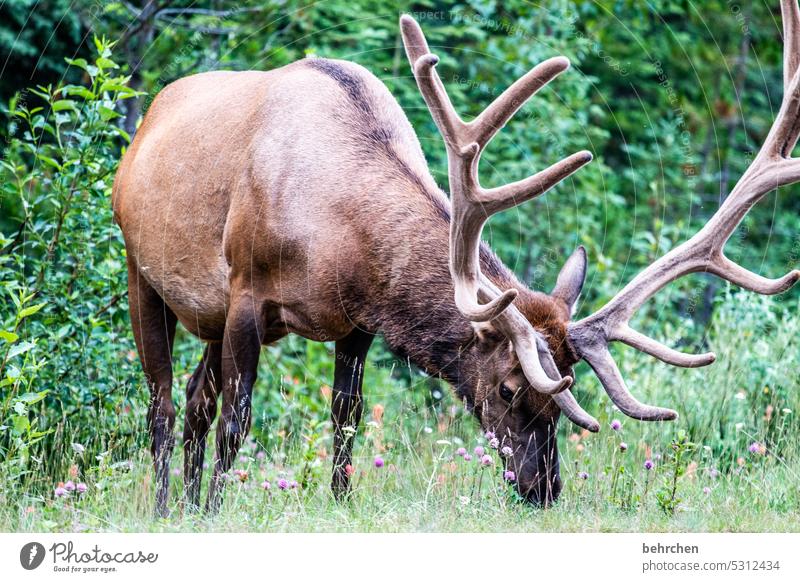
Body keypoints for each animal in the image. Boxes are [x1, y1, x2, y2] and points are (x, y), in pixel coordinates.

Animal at [112, 2, 800, 516]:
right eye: (510, 386)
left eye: (567, 392)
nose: (544, 489)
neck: (332, 234)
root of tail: (145, 123)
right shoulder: (249, 294)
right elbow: (238, 419)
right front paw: (216, 510)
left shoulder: (353, 321)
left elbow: (345, 419)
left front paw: (339, 504)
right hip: (142, 271)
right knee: (165, 404)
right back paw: (168, 507)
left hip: (207, 317)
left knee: (196, 399)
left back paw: (184, 504)